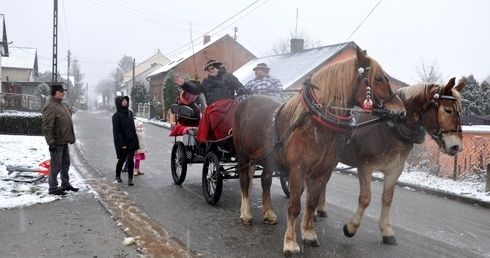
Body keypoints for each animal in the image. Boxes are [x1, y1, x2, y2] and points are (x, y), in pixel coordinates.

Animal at [233, 46, 406, 256]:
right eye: (379, 79)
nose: (401, 111)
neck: (315, 123)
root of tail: (245, 100)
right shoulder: (298, 172)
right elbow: (294, 206)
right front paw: (290, 243)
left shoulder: (323, 172)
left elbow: (311, 203)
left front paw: (309, 234)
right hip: (242, 155)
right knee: (244, 182)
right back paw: (246, 214)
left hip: (267, 160)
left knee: (266, 181)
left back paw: (269, 213)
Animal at [314, 77, 464, 246]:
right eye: (448, 110)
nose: (457, 146)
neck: (391, 126)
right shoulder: (366, 167)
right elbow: (365, 198)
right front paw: (351, 227)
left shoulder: (394, 170)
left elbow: (387, 199)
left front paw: (386, 231)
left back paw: (320, 209)